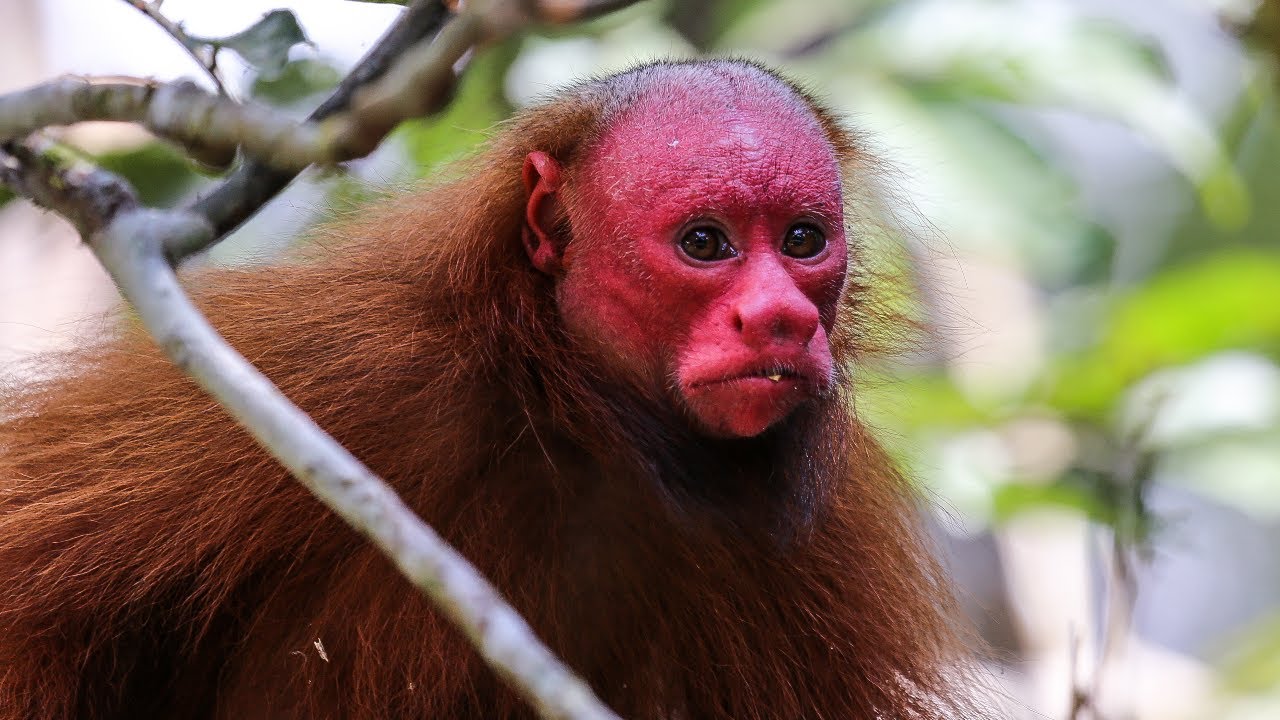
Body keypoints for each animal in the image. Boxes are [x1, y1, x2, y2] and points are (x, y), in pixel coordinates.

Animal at [0, 59, 986, 719]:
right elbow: (32, 614)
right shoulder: (328, 365)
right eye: (705, 243)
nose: (781, 319)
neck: (578, 421)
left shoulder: (826, 547)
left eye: (802, 240)